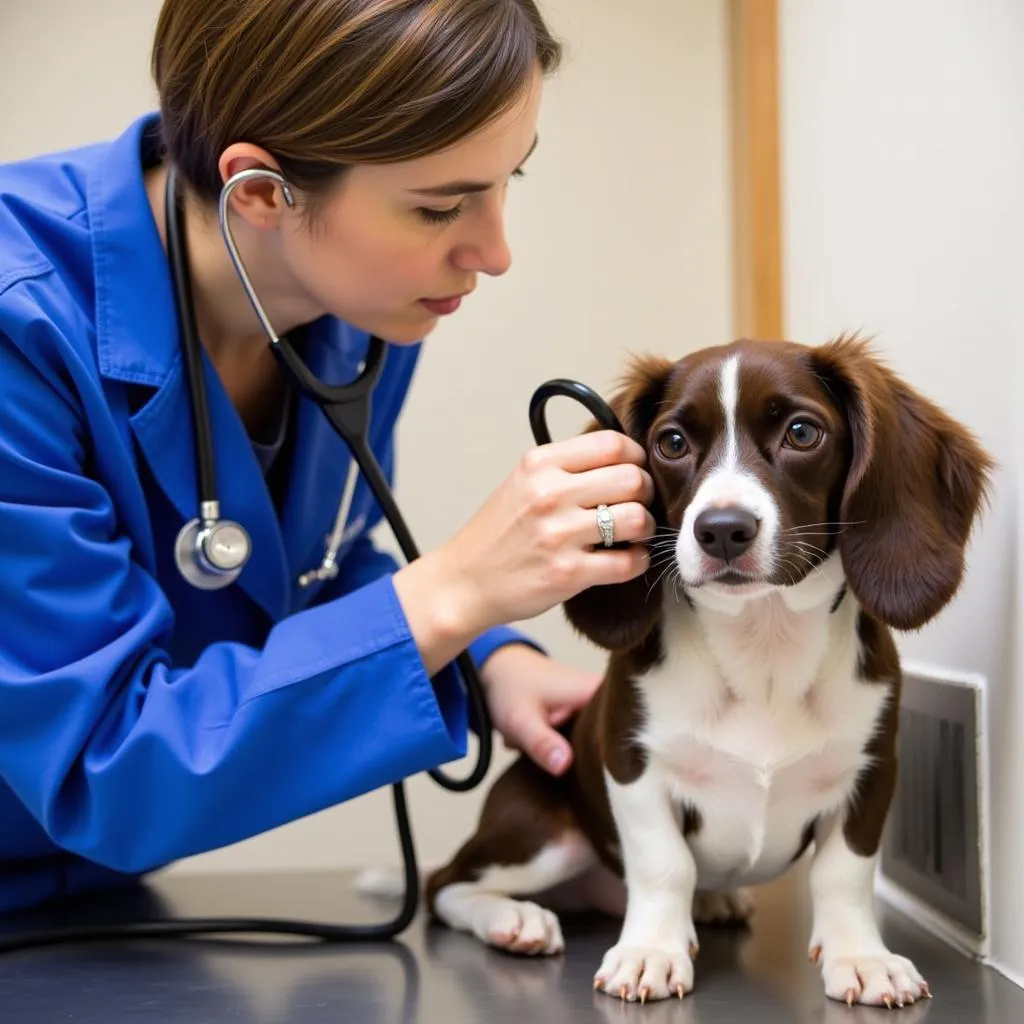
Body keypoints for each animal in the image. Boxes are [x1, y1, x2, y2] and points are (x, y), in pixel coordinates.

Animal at [389, 333, 991, 1007]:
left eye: (802, 432)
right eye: (672, 443)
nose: (723, 530)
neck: (763, 646)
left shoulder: (872, 772)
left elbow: (844, 873)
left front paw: (862, 957)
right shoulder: (632, 764)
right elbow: (664, 863)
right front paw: (650, 951)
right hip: (543, 834)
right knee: (446, 884)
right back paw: (513, 919)